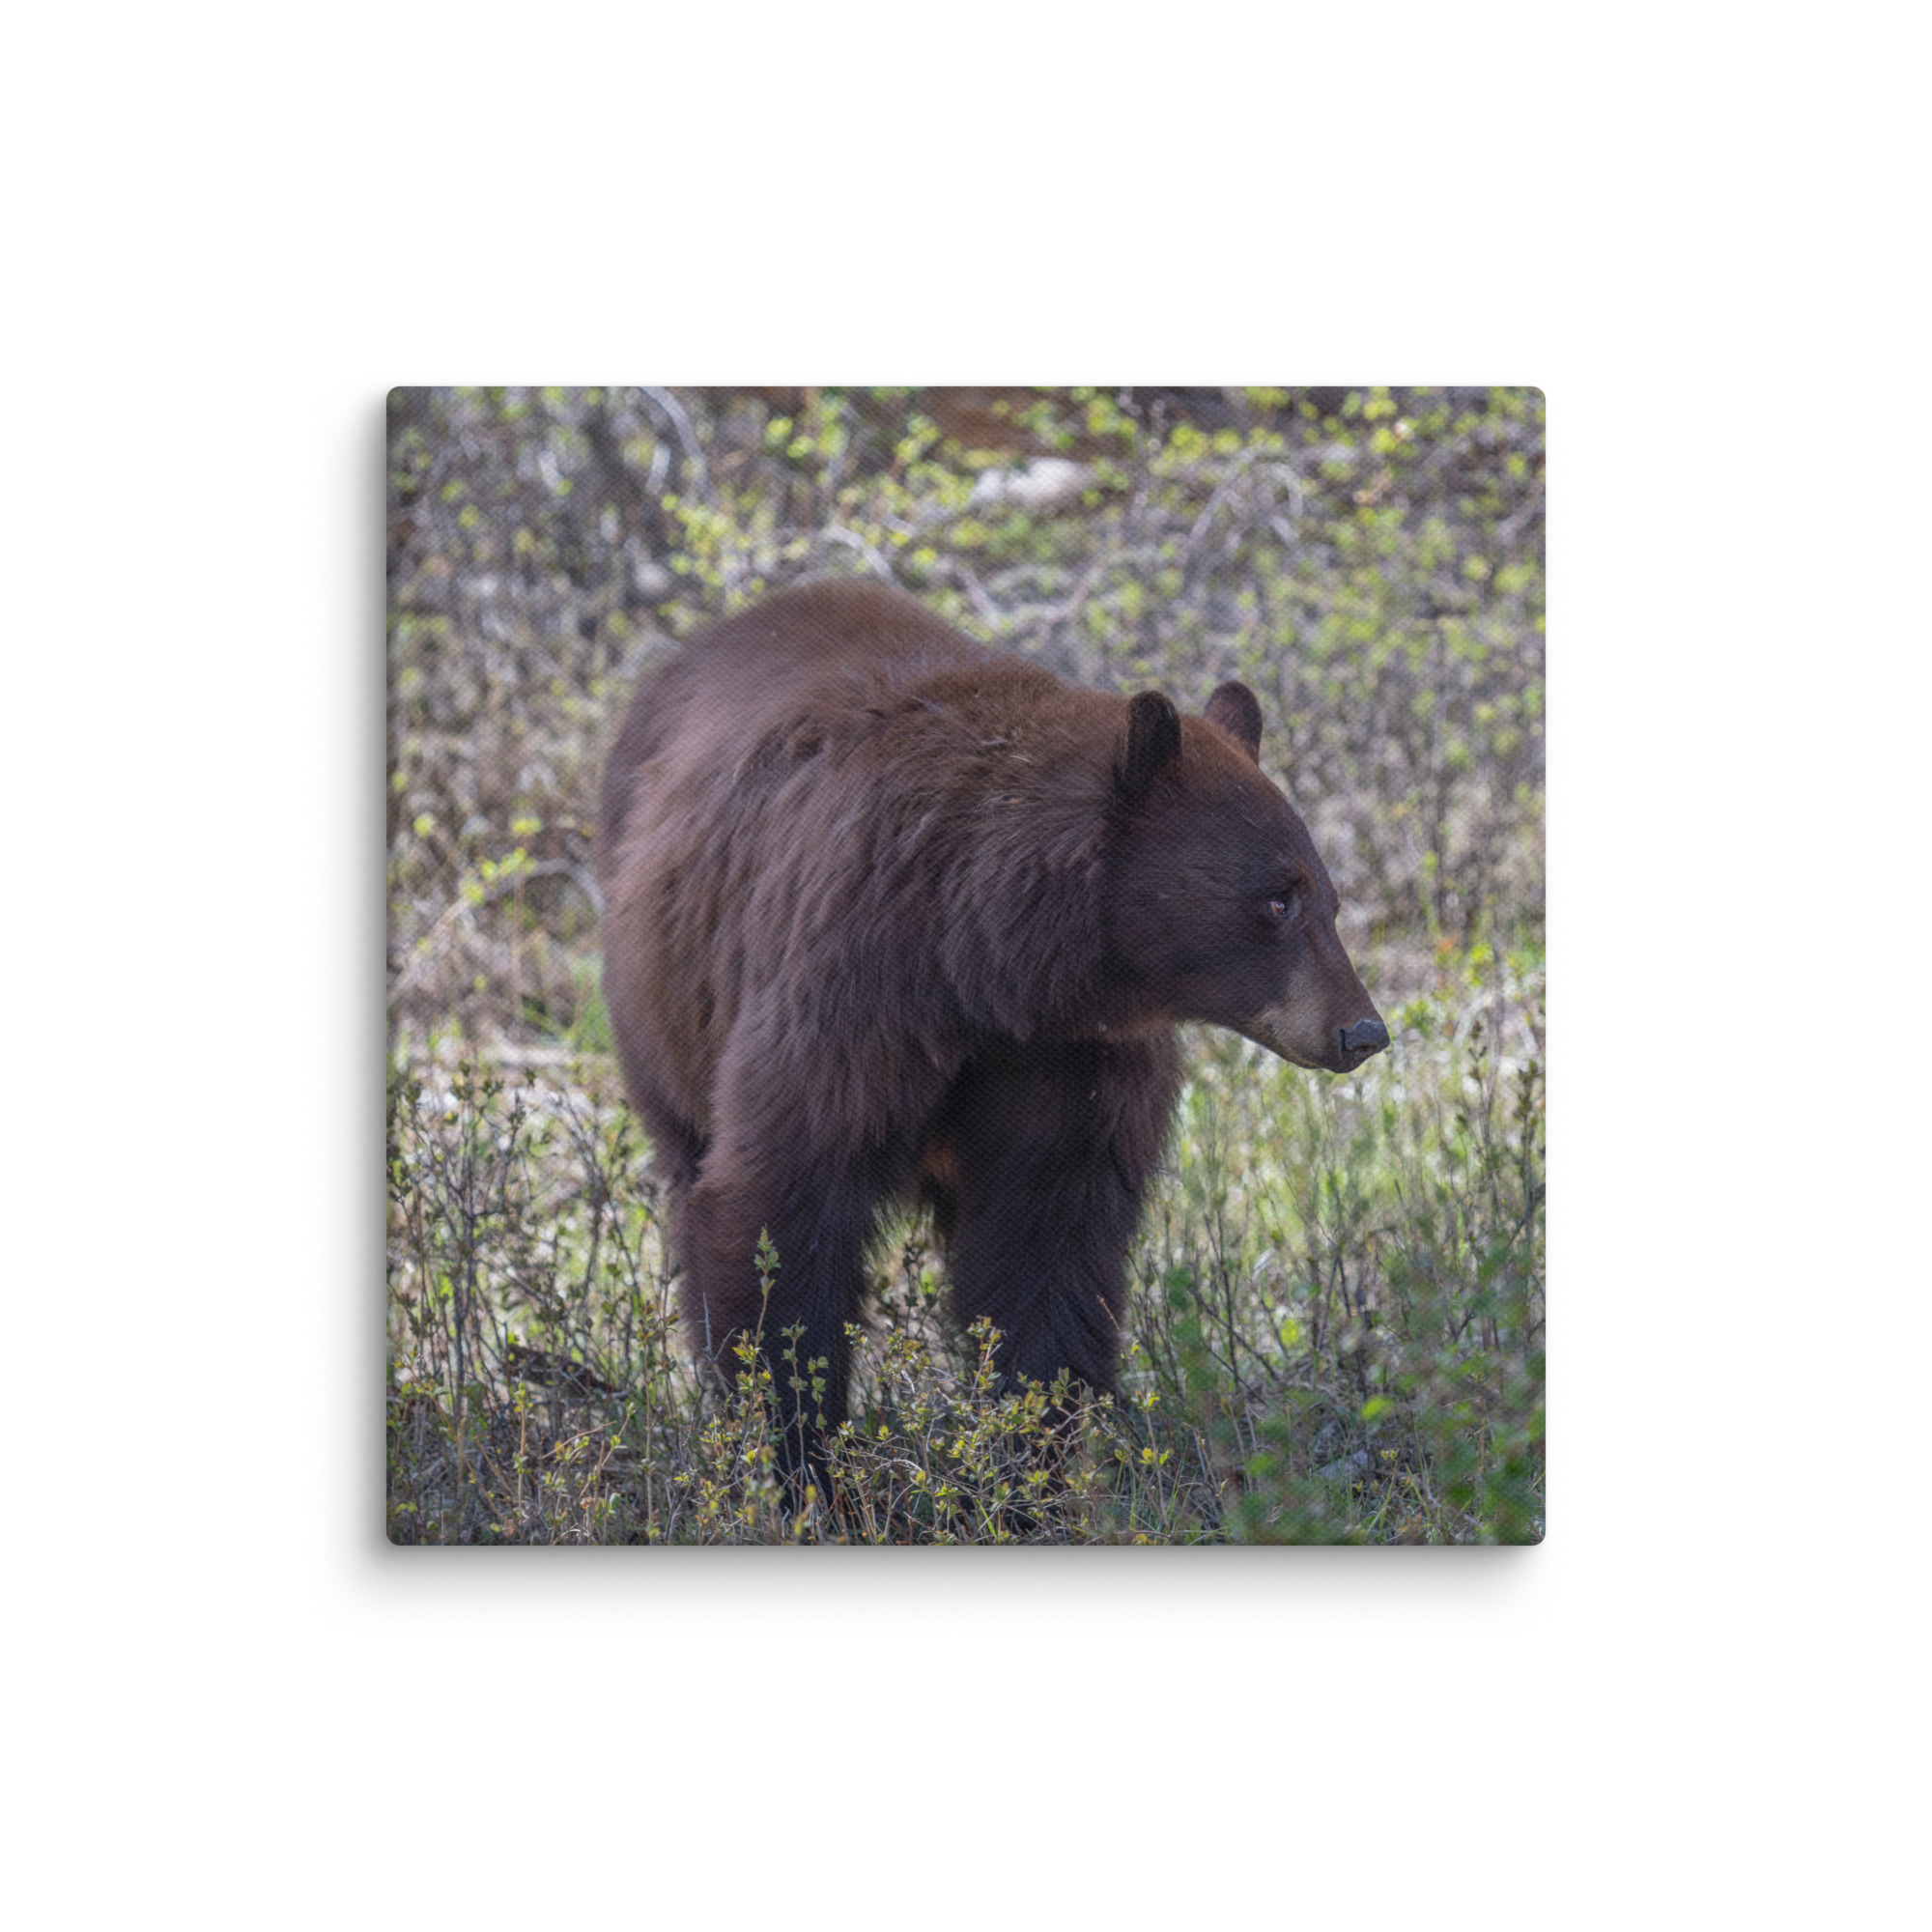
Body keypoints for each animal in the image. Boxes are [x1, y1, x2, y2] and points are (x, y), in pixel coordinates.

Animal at [596, 578, 1386, 1490]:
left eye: (1329, 897)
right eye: (1276, 900)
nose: (1362, 1030)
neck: (987, 965)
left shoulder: (1071, 1059)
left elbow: (1046, 1244)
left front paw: (1027, 1467)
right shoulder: (852, 990)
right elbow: (782, 1200)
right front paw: (802, 1461)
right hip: (663, 1006)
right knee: (691, 1166)